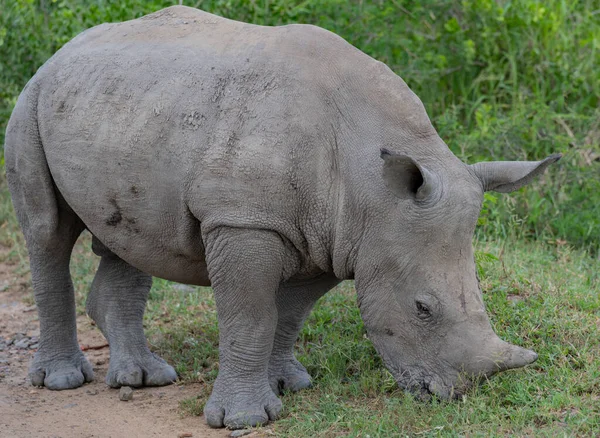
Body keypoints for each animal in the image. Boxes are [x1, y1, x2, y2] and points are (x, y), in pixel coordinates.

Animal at [4, 5, 560, 430]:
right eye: (423, 309)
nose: (453, 395)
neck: (371, 185)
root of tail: (64, 50)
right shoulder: (243, 220)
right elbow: (251, 315)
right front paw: (244, 419)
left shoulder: (336, 235)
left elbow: (289, 314)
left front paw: (288, 385)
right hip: (31, 101)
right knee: (47, 234)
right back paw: (63, 381)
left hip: (122, 108)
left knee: (130, 238)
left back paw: (144, 378)